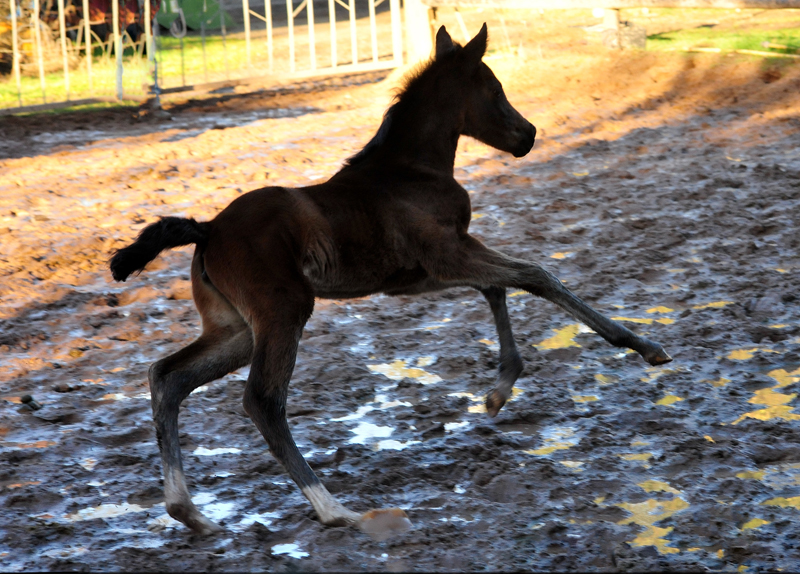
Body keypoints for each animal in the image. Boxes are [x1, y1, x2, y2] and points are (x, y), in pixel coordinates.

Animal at [109, 23, 672, 540]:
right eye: (495, 89)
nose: (528, 136)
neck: (411, 172)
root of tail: (208, 228)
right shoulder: (448, 254)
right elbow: (537, 275)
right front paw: (642, 346)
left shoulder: (420, 275)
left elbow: (496, 287)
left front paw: (500, 389)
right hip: (283, 312)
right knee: (262, 400)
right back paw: (334, 510)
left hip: (235, 330)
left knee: (168, 377)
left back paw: (190, 513)